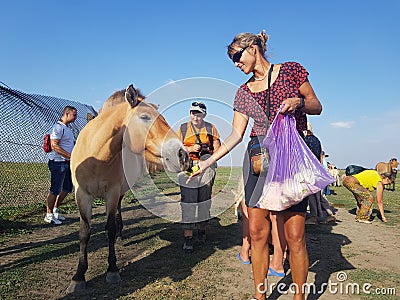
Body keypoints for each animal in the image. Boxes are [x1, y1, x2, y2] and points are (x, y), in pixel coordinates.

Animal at [67, 83, 189, 292]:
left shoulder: (112, 193)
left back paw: (120, 235)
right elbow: (84, 232)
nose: (182, 154)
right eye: (145, 117)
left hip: (120, 192)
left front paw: (112, 269)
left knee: (118, 211)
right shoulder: (81, 195)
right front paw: (78, 276)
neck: (96, 155)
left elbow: (109, 229)